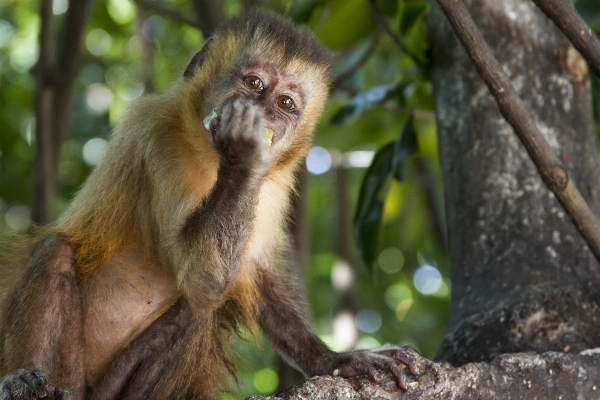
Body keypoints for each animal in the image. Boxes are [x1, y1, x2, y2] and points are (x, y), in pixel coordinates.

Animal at [0, 9, 420, 400]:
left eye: (285, 103)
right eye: (253, 83)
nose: (264, 113)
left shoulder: (277, 180)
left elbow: (241, 273)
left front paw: (336, 360)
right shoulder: (156, 131)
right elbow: (195, 267)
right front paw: (243, 149)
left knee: (199, 311)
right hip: (70, 376)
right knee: (56, 253)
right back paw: (26, 377)